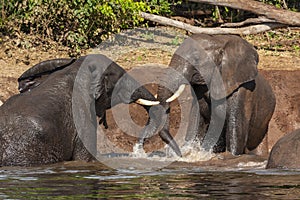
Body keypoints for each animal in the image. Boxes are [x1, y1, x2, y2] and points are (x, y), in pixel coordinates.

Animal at [142, 34, 276, 156]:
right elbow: (196, 122)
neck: (219, 41)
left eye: (196, 59)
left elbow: (236, 134)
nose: (179, 154)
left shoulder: (243, 92)